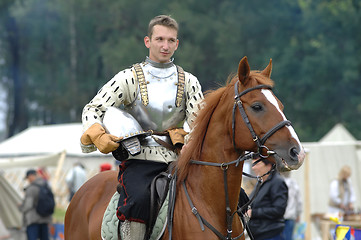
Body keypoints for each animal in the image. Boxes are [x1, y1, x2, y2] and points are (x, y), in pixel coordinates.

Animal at [64, 56, 304, 240]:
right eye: (257, 106)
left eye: (280, 105)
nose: (297, 153)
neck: (212, 204)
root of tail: (81, 193)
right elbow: (94, 107)